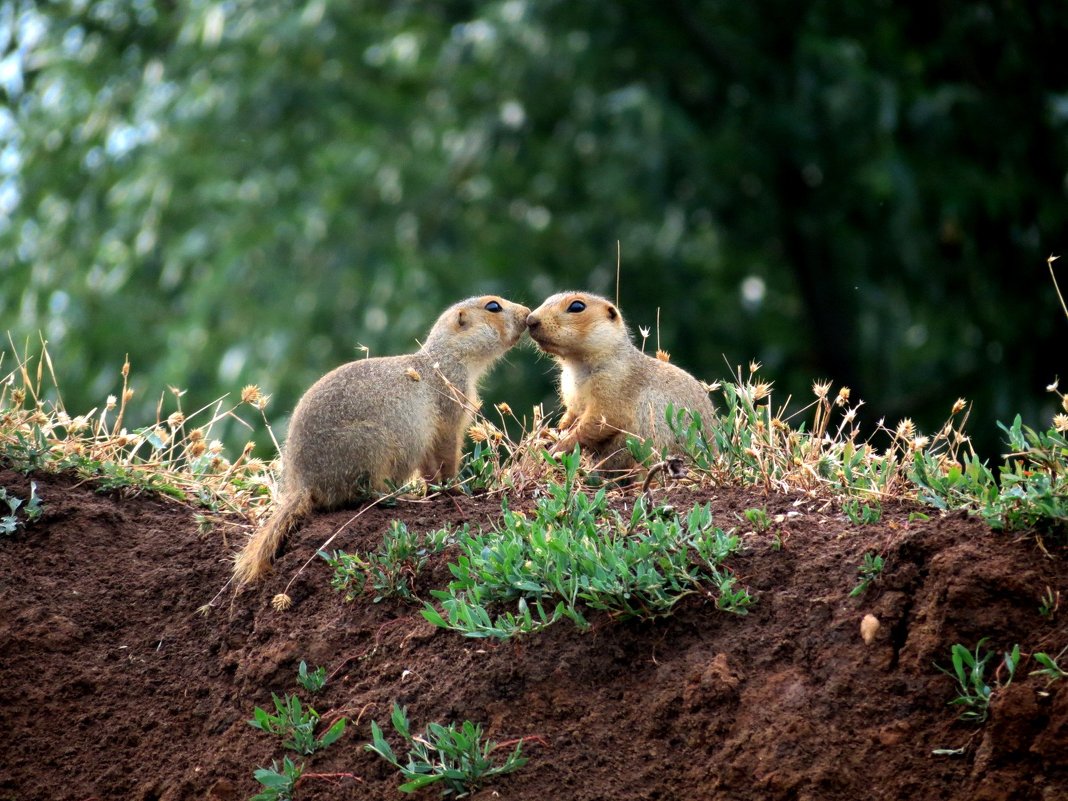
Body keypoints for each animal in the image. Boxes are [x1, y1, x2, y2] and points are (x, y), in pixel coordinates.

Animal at [236, 299, 531, 585]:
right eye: (493, 306)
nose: (528, 312)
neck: (444, 357)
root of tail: (303, 485)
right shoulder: (450, 404)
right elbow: (447, 450)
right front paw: (456, 488)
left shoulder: (425, 435)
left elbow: (429, 463)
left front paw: (435, 489)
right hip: (372, 447)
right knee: (368, 494)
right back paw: (401, 496)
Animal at [527, 292, 717, 474]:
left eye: (577, 306)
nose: (530, 320)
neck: (576, 366)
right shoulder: (571, 395)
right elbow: (571, 415)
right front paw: (551, 433)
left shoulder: (612, 386)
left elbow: (598, 420)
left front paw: (558, 447)